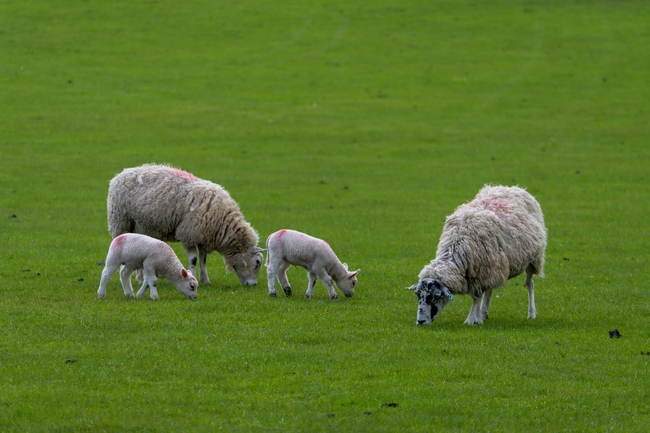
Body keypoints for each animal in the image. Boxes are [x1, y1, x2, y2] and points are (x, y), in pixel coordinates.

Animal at [408, 185, 544, 324]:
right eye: (417, 295)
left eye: (436, 296)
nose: (421, 321)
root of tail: (511, 188)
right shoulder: (482, 273)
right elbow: (479, 295)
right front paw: (477, 317)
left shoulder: (481, 273)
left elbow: (476, 297)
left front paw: (471, 319)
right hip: (495, 266)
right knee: (489, 290)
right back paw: (483, 313)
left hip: (533, 259)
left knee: (530, 284)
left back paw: (531, 313)